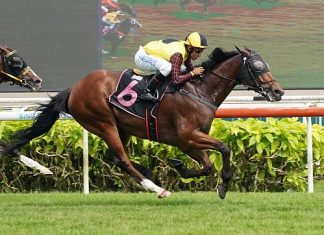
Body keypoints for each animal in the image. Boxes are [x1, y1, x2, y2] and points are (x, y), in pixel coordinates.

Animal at [4, 46, 284, 198]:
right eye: (258, 67)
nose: (278, 92)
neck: (199, 91)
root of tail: (75, 88)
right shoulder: (187, 136)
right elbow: (224, 148)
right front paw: (224, 184)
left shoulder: (186, 142)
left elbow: (205, 166)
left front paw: (180, 167)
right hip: (102, 122)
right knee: (122, 160)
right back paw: (155, 187)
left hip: (123, 127)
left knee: (116, 158)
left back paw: (149, 175)